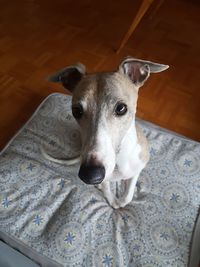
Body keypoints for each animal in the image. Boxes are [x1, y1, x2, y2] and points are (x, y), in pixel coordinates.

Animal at [44, 57, 168, 209]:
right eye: (76, 111)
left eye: (121, 108)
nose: (90, 175)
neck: (119, 161)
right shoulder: (105, 179)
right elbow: (108, 190)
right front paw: (113, 201)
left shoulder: (137, 169)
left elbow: (128, 195)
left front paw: (121, 200)